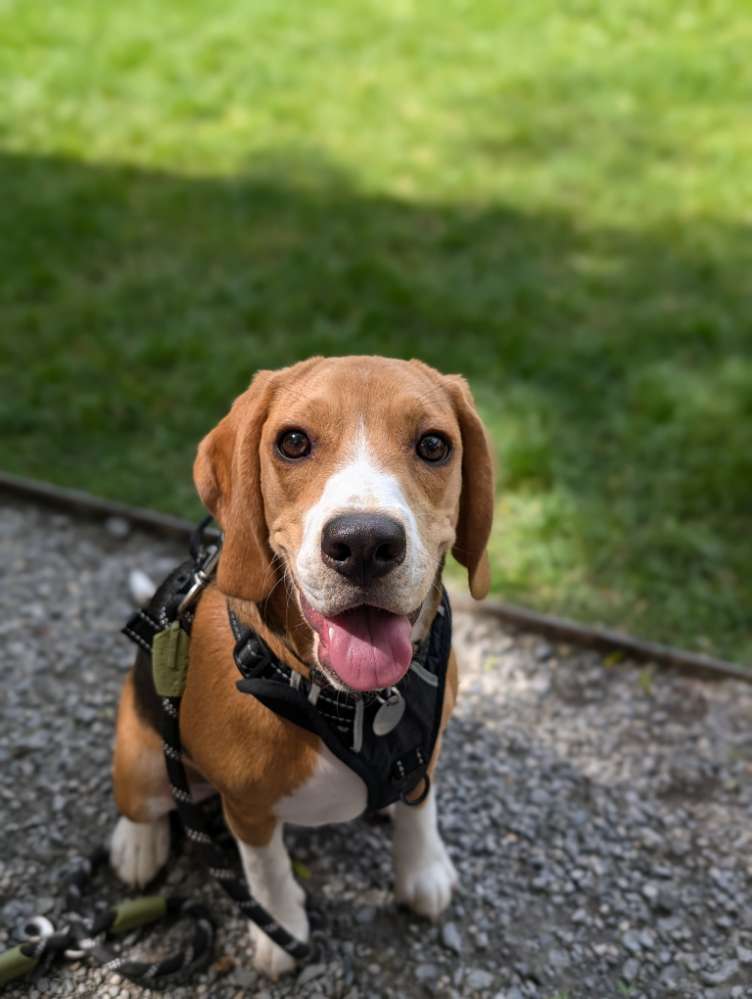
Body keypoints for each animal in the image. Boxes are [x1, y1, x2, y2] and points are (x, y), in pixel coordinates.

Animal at [107, 356, 494, 980]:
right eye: (292, 442)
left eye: (434, 445)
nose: (364, 543)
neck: (352, 702)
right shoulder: (247, 805)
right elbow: (267, 871)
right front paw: (281, 931)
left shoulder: (427, 745)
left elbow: (421, 807)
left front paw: (423, 868)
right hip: (141, 760)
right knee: (142, 803)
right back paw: (137, 845)